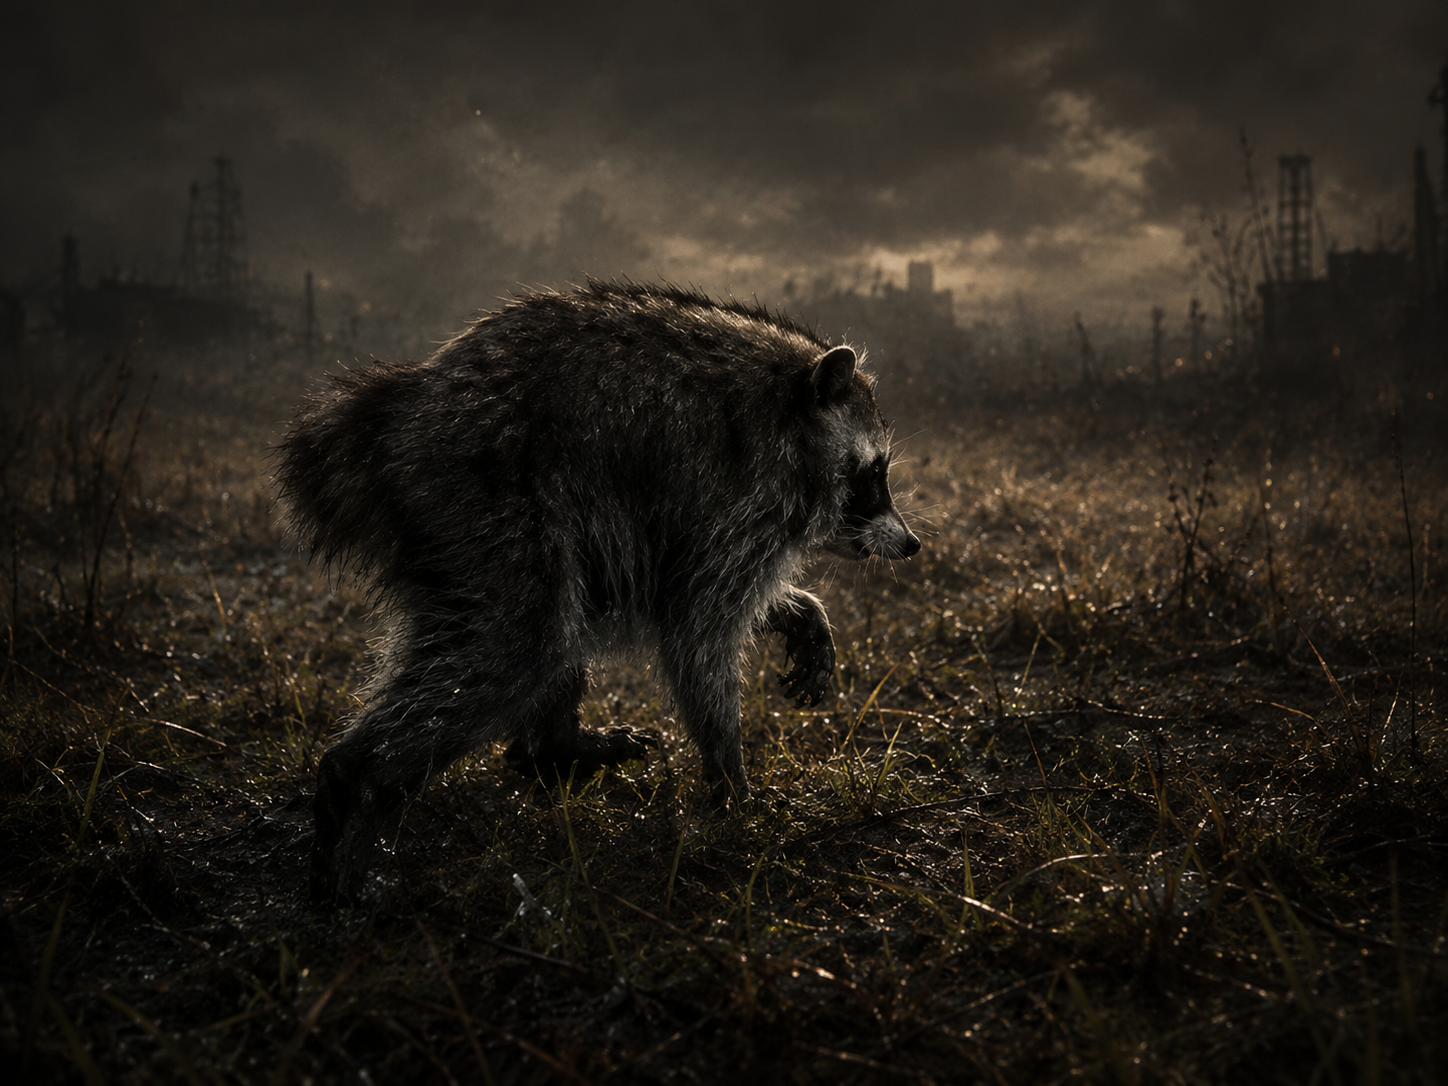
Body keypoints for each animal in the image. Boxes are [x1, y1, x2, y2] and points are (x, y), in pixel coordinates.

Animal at [278, 282, 919, 904]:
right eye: (875, 474)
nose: (910, 544)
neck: (789, 407)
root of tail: (396, 410)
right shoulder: (735, 498)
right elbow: (697, 628)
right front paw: (730, 780)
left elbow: (690, 599)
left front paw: (800, 613)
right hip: (483, 496)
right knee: (517, 644)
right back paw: (353, 778)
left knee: (549, 633)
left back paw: (551, 746)